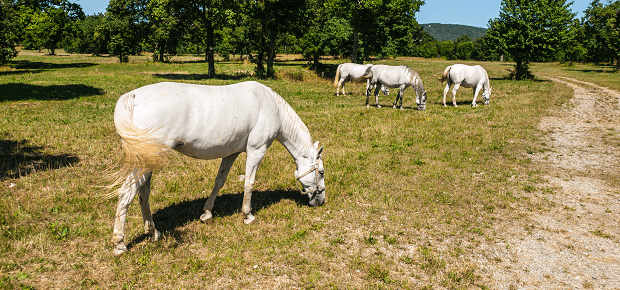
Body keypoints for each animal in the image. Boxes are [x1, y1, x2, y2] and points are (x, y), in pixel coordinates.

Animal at [109, 80, 326, 255]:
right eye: (321, 172)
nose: (321, 201)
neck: (272, 107)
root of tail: (133, 96)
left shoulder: (231, 153)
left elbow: (219, 181)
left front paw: (207, 213)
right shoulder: (256, 150)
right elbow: (249, 182)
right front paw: (247, 215)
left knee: (142, 194)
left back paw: (154, 233)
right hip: (145, 163)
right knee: (126, 193)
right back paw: (120, 244)